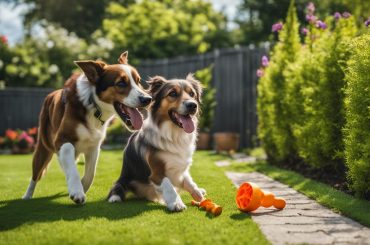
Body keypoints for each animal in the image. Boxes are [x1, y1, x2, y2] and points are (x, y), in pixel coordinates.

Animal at [23, 50, 151, 204]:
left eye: (138, 81)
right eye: (120, 83)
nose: (147, 99)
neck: (93, 107)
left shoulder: (94, 145)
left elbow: (91, 173)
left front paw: (81, 186)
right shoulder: (62, 140)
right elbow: (71, 163)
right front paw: (77, 191)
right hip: (43, 147)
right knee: (35, 175)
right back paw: (27, 196)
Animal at [107, 74, 205, 211]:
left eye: (192, 94)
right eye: (173, 93)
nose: (193, 105)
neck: (173, 135)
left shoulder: (179, 169)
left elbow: (188, 181)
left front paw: (198, 194)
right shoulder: (156, 172)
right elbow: (168, 185)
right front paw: (176, 203)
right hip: (123, 179)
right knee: (117, 187)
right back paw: (114, 198)